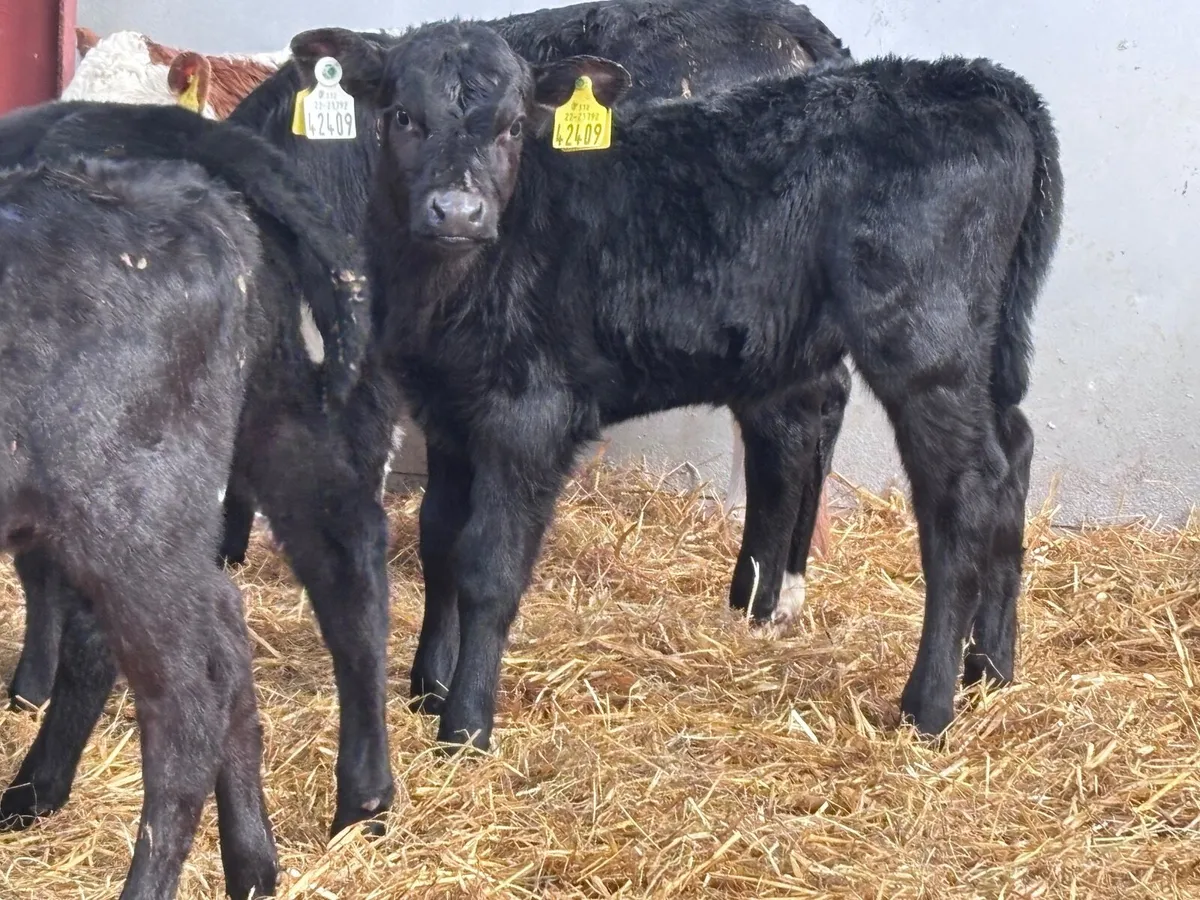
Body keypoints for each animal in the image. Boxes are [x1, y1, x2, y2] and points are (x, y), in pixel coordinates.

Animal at [286, 22, 1063, 751]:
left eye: (511, 125)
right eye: (402, 117)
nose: (457, 210)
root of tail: (969, 78)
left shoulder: (529, 413)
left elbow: (487, 566)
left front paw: (465, 727)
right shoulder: (447, 410)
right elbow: (439, 544)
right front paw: (426, 688)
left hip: (924, 342)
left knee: (962, 494)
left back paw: (928, 707)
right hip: (982, 345)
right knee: (1011, 455)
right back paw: (991, 669)